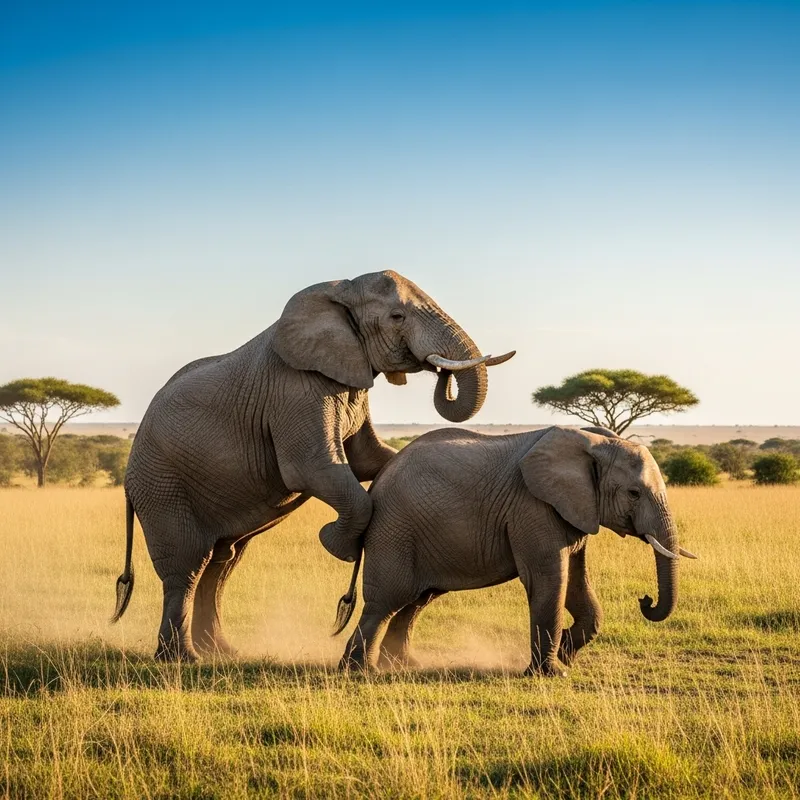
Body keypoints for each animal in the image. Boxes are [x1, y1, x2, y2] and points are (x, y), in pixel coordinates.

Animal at [110, 270, 514, 661]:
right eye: (397, 317)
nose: (440, 372)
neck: (340, 290)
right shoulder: (295, 389)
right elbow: (311, 469)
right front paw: (335, 544)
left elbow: (369, 459)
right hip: (161, 484)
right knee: (187, 563)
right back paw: (182, 659)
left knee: (221, 563)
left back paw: (221, 652)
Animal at [333, 425, 697, 676]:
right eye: (634, 493)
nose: (645, 600)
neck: (592, 442)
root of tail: (375, 484)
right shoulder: (531, 507)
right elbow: (550, 581)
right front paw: (553, 673)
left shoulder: (574, 509)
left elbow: (577, 583)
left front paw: (566, 653)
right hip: (395, 531)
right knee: (387, 601)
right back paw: (359, 671)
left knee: (417, 600)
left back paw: (403, 665)